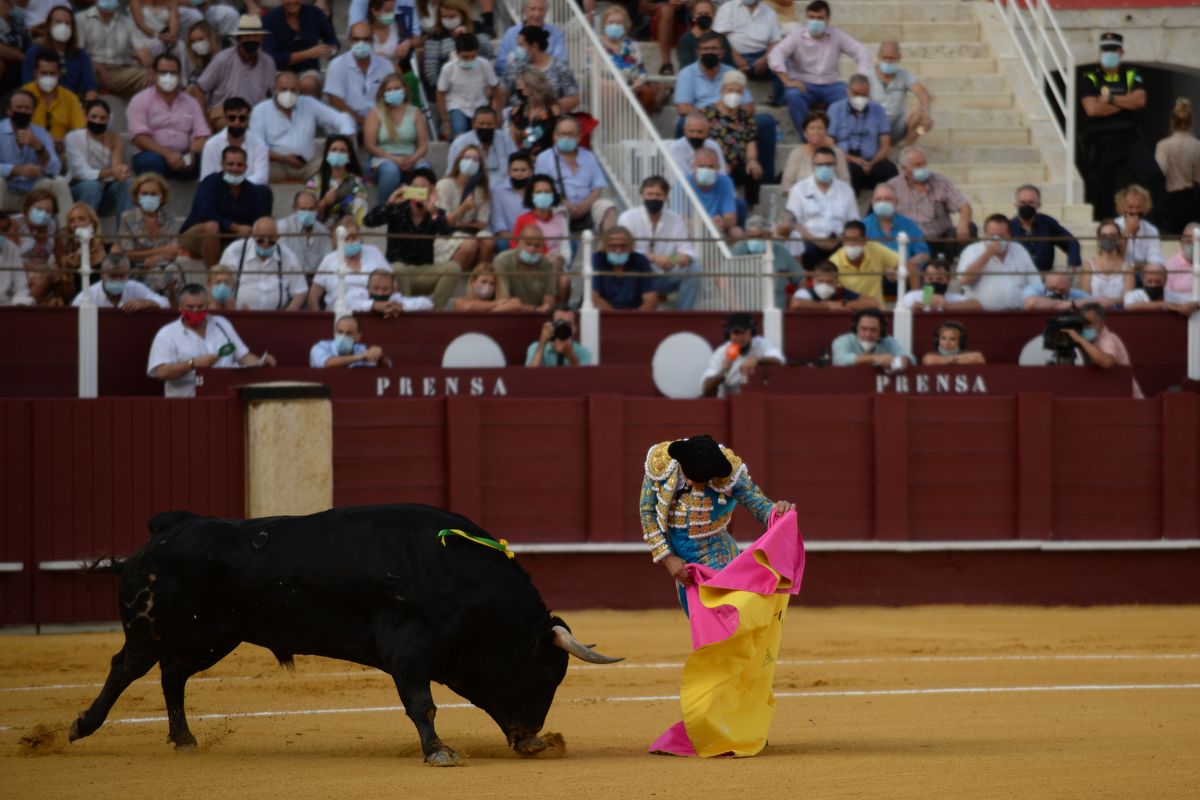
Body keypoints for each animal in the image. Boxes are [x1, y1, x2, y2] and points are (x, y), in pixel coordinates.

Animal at [70, 503, 624, 767]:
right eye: (546, 671)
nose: (531, 736)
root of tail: (168, 528)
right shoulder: (406, 649)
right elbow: (421, 704)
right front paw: (438, 752)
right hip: (152, 628)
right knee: (126, 668)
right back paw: (80, 727)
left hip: (214, 636)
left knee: (172, 675)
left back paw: (185, 740)